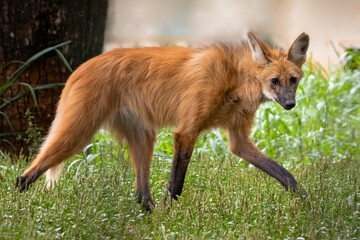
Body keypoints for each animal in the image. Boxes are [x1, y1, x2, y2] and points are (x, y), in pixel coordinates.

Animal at [17, 31, 310, 210]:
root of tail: (79, 68)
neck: (236, 80)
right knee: (25, 176)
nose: (290, 104)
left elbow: (285, 174)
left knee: (141, 196)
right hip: (78, 134)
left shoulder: (239, 141)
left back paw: (150, 215)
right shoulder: (186, 132)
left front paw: (308, 204)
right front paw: (172, 217)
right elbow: (176, 185)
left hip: (144, 137)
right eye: (275, 81)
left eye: (293, 80)